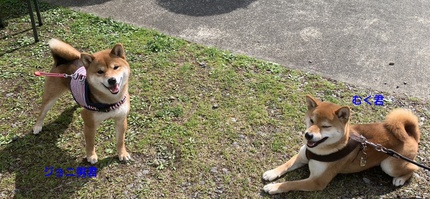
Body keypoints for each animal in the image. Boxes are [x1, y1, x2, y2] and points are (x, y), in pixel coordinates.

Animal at [262, 95, 420, 194]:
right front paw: (271, 173)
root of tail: (410, 135)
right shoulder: (302, 156)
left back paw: (400, 179)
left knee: (413, 168)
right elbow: (286, 164)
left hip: (389, 165)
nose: (308, 135)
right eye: (311, 120)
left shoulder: (317, 181)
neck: (320, 150)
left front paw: (274, 187)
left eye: (325, 126)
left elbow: (291, 183)